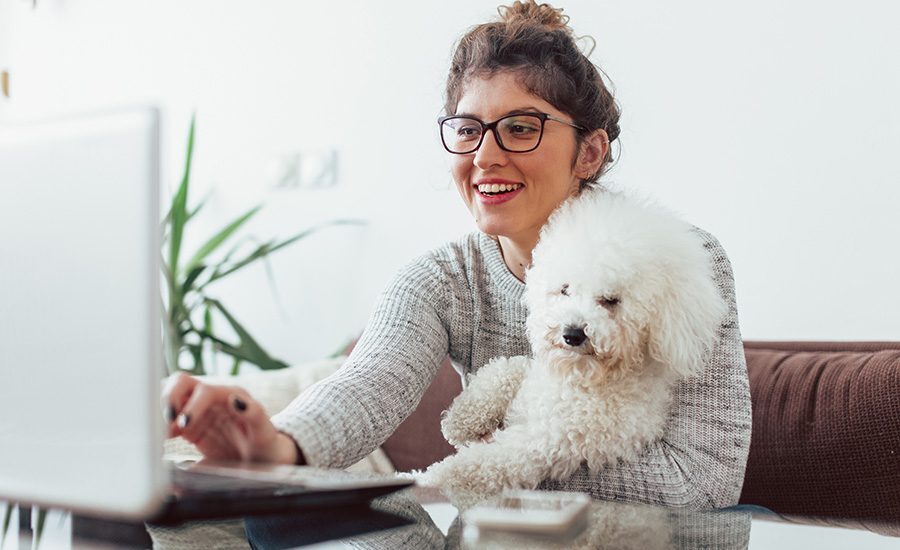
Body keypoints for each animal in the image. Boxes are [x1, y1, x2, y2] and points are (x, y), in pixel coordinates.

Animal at [420, 191, 724, 508]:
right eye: (565, 289)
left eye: (611, 300)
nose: (572, 334)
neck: (579, 379)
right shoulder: (534, 375)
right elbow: (506, 368)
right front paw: (460, 419)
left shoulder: (544, 442)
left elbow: (478, 464)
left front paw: (428, 479)